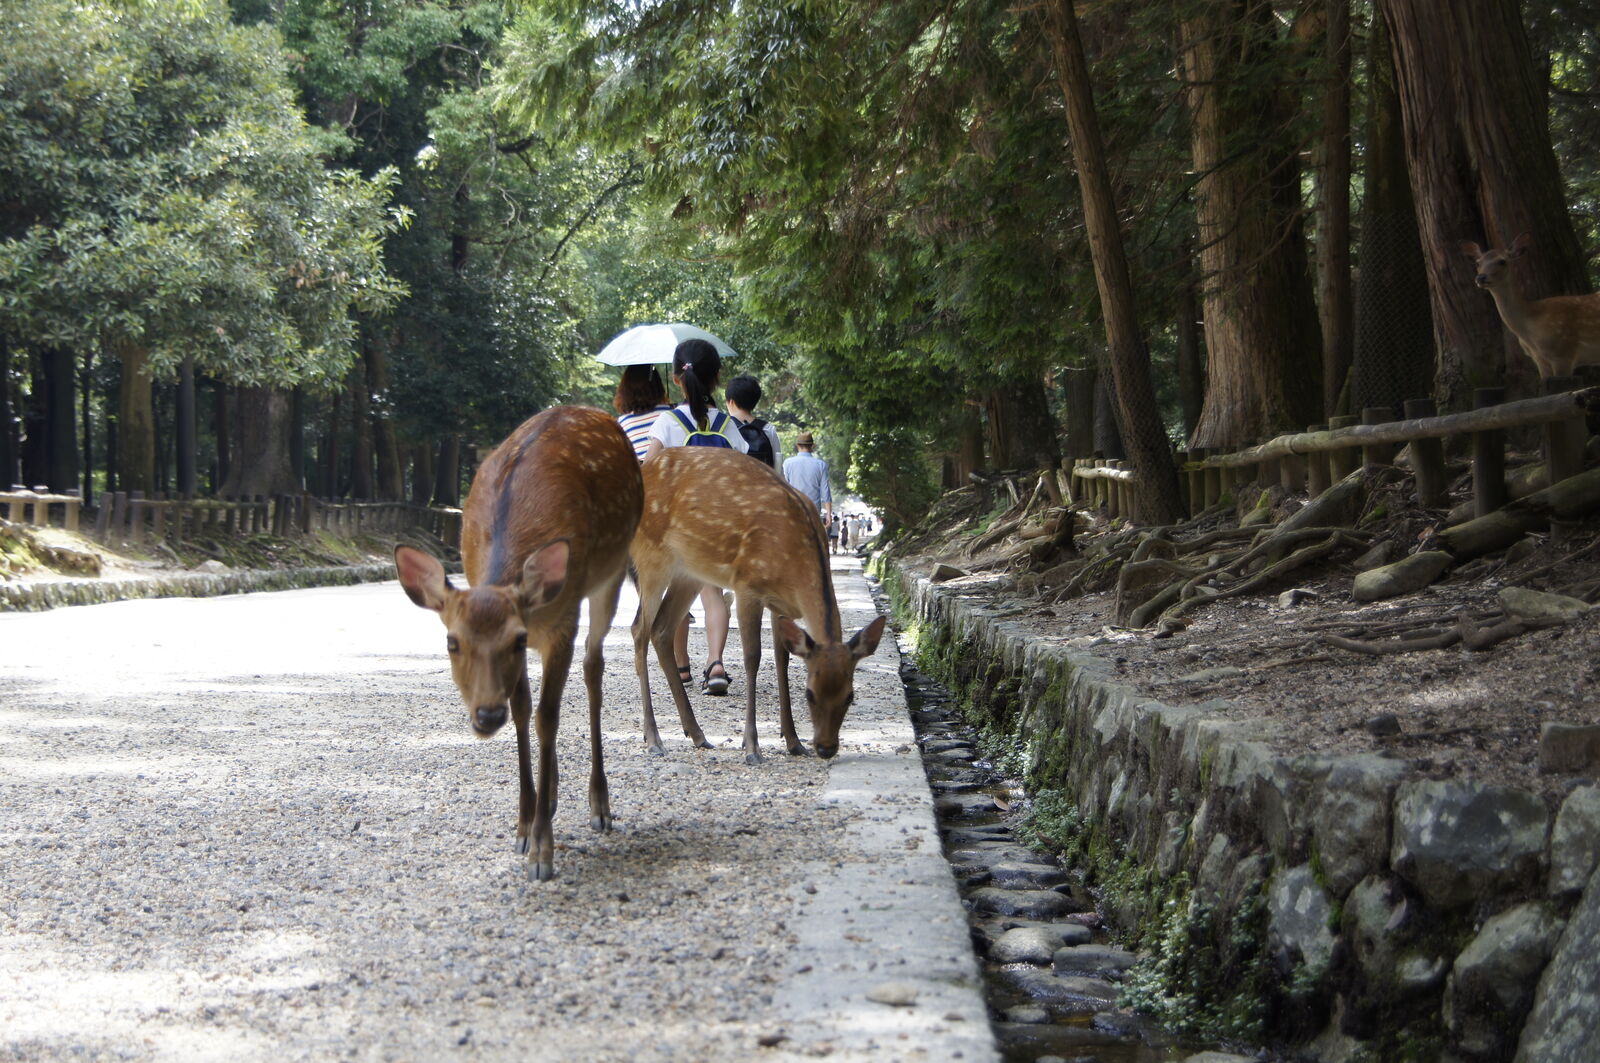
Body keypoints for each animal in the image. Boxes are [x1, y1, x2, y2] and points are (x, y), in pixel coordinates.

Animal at [394, 405, 642, 881]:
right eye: (452, 642)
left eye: (517, 637)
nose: (487, 715)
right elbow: (525, 712)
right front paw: (525, 825)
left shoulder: (561, 623)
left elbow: (548, 718)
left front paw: (542, 851)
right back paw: (552, 793)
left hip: (614, 571)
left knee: (594, 666)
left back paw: (599, 803)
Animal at [630, 447, 887, 765]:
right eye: (810, 694)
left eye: (850, 695)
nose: (826, 747)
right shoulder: (747, 587)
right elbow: (753, 658)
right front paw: (752, 747)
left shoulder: (781, 606)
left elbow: (782, 661)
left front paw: (793, 741)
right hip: (651, 558)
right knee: (639, 630)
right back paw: (653, 738)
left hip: (689, 573)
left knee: (662, 629)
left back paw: (697, 734)